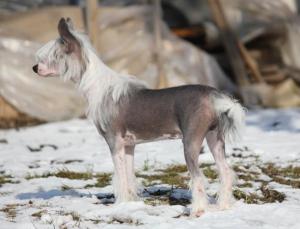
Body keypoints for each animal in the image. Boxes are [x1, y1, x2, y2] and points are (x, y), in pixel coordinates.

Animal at [32, 17, 245, 216]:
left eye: (51, 56)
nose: (34, 68)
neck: (97, 85)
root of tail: (215, 96)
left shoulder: (114, 143)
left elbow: (120, 178)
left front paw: (118, 205)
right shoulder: (129, 146)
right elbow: (129, 177)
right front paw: (130, 203)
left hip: (191, 142)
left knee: (199, 178)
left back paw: (197, 211)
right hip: (214, 138)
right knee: (226, 172)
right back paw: (223, 206)